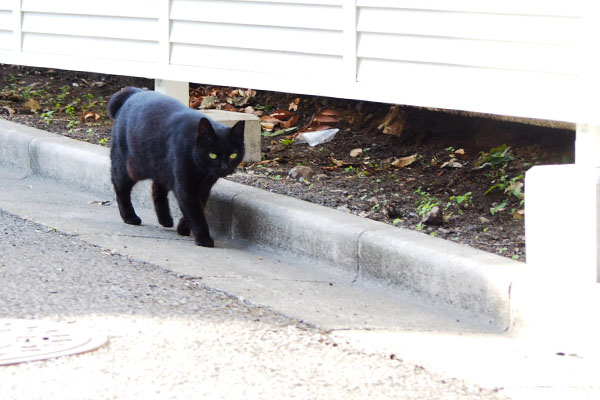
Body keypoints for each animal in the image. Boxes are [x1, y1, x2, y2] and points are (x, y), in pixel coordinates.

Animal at [107, 87, 244, 247]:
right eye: (213, 155)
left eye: (233, 155)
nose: (224, 167)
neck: (202, 172)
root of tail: (134, 92)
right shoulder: (186, 187)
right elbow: (195, 213)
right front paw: (203, 238)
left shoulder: (204, 187)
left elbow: (198, 207)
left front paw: (183, 228)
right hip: (129, 168)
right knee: (120, 187)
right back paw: (129, 216)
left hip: (159, 166)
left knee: (157, 189)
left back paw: (165, 219)